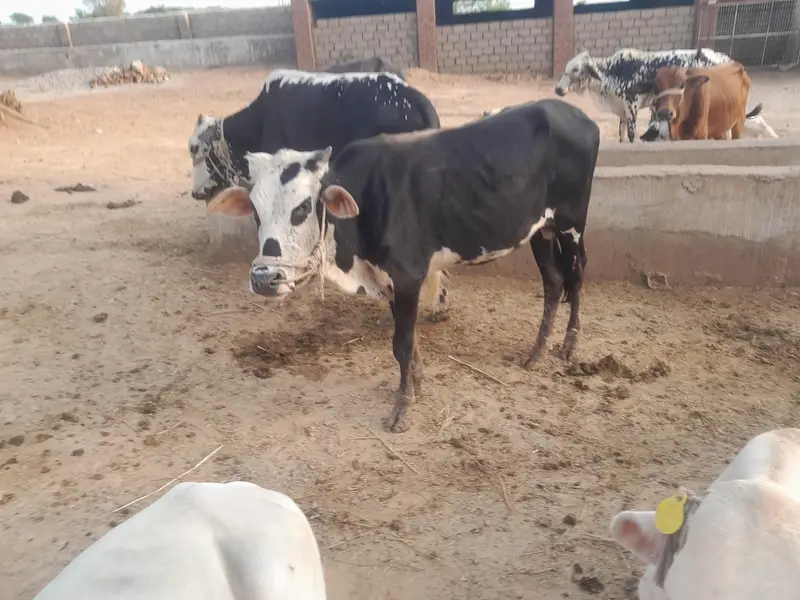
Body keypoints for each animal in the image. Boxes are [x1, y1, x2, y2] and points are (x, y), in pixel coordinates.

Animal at [204, 98, 600, 433]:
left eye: (302, 207)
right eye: (255, 210)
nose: (264, 277)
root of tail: (575, 114)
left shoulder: (408, 275)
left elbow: (402, 343)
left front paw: (402, 407)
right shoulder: (389, 280)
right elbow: (406, 340)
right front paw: (417, 382)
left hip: (571, 222)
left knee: (577, 277)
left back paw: (569, 345)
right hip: (541, 230)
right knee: (553, 283)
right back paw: (536, 352)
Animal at [554, 47, 731, 142]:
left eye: (576, 69)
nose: (558, 89)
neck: (612, 72)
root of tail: (724, 58)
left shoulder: (631, 105)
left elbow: (631, 134)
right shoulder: (623, 110)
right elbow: (621, 133)